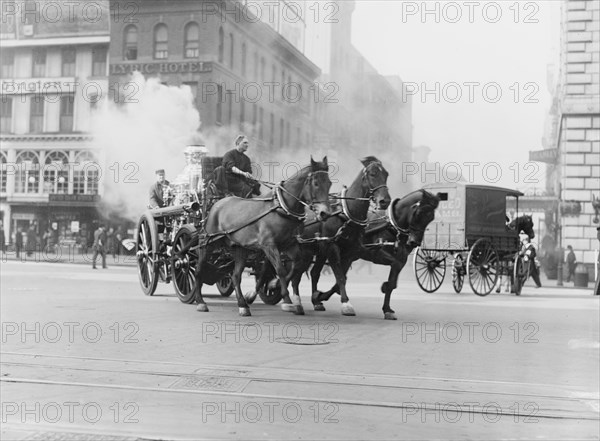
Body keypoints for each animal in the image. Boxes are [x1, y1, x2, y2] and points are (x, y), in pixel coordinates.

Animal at [193, 156, 330, 314]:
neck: (281, 208)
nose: (325, 213)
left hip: (239, 247)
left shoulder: (289, 244)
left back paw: (242, 304)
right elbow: (280, 270)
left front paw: (276, 285)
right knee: (199, 269)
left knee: (235, 276)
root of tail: (217, 203)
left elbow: (297, 265)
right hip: (209, 242)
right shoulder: (269, 245)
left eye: (329, 183)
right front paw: (287, 299)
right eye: (316, 183)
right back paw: (200, 301)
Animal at [290, 156, 394, 314]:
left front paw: (321, 296)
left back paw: (315, 301)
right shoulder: (333, 248)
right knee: (296, 275)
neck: (346, 213)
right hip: (305, 251)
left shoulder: (350, 251)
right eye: (373, 174)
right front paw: (346, 303)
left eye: (386, 174)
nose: (385, 201)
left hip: (319, 252)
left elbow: (342, 277)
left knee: (313, 273)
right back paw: (296, 301)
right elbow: (340, 277)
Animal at [314, 189, 440, 320]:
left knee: (324, 273)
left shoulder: (402, 259)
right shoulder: (374, 253)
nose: (414, 242)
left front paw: (387, 309)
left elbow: (392, 284)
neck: (393, 226)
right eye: (419, 213)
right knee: (319, 272)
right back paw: (318, 300)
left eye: (431, 217)